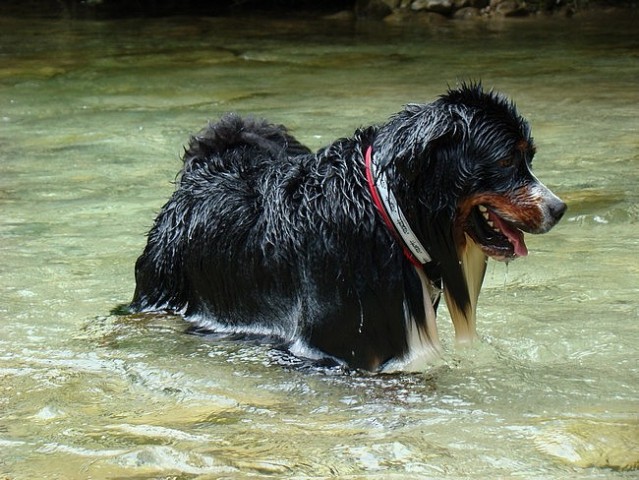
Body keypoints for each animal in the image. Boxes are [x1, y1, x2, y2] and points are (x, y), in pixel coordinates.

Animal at [129, 83, 564, 372]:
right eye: (507, 161)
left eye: (529, 158)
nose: (559, 208)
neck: (387, 216)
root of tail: (204, 170)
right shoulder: (333, 350)